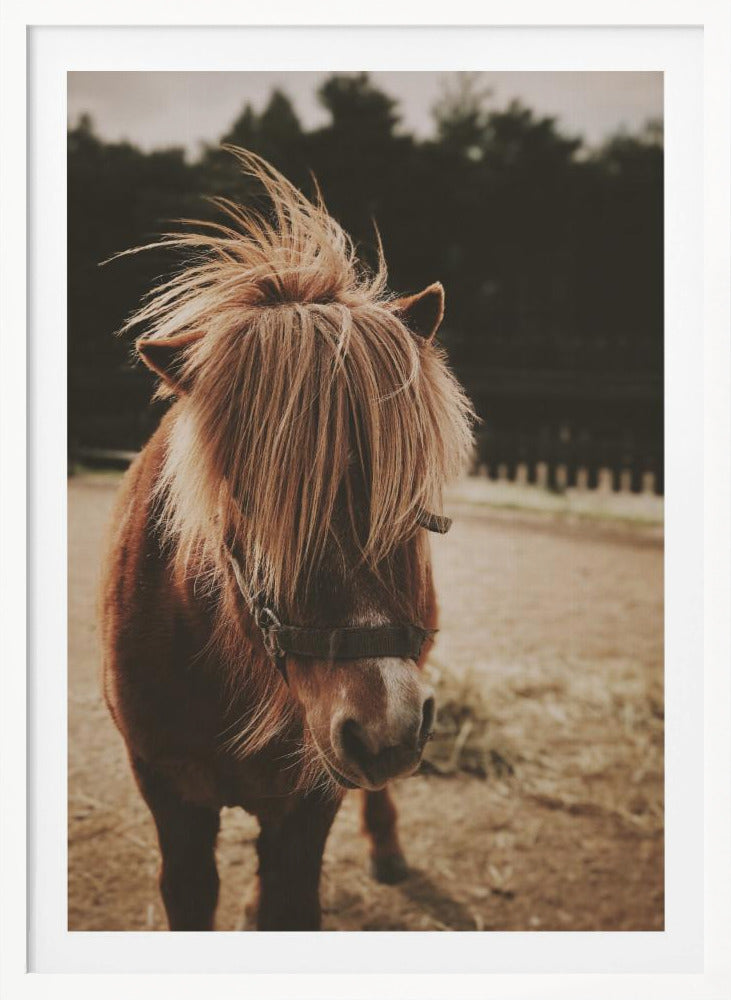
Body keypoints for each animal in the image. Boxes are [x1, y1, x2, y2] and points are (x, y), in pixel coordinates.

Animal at [100, 148, 474, 931]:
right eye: (248, 501)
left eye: (409, 494)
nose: (383, 726)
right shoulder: (171, 800)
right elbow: (192, 893)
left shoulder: (310, 802)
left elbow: (290, 897)